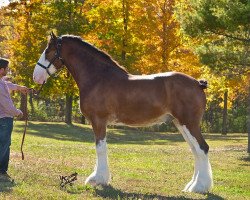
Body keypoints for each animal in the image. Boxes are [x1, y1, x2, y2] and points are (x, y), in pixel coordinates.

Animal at [32, 32, 213, 194]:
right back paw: (192, 186)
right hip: (180, 123)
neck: (98, 78)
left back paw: (199, 187)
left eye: (48, 51)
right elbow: (99, 147)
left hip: (189, 123)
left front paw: (98, 179)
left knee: (202, 148)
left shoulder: (99, 120)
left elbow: (100, 148)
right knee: (195, 150)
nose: (35, 76)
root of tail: (198, 84)